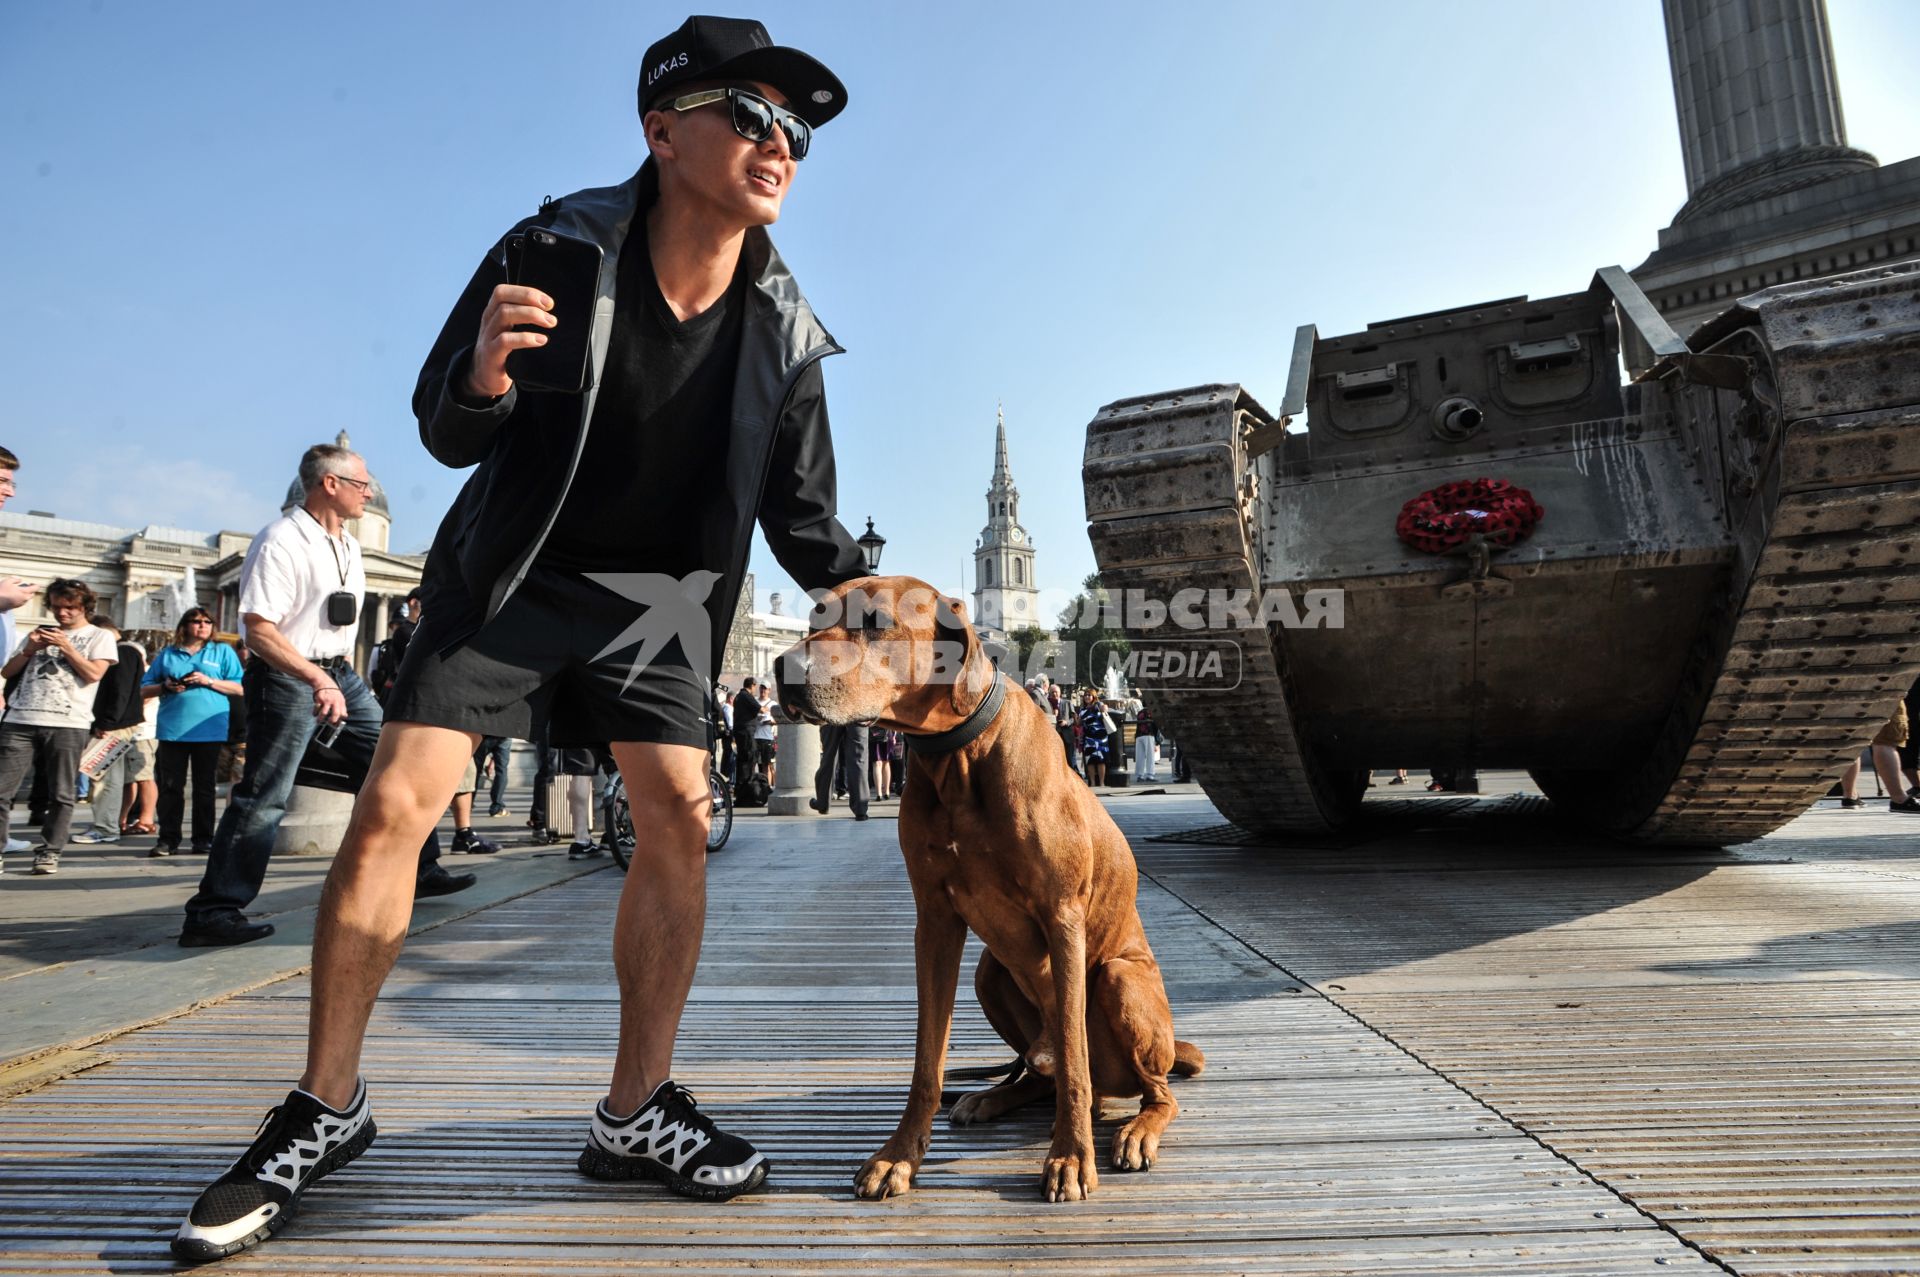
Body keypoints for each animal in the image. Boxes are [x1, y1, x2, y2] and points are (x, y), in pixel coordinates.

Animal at [775, 572, 1198, 1198]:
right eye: (813, 619)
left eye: (874, 623)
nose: (784, 668)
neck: (958, 756)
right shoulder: (935, 923)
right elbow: (927, 1059)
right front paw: (898, 1155)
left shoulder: (1062, 918)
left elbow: (1073, 1053)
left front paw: (1070, 1157)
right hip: (989, 973)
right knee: (1048, 1074)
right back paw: (994, 1095)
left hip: (1121, 979)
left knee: (1146, 1088)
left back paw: (1137, 1129)